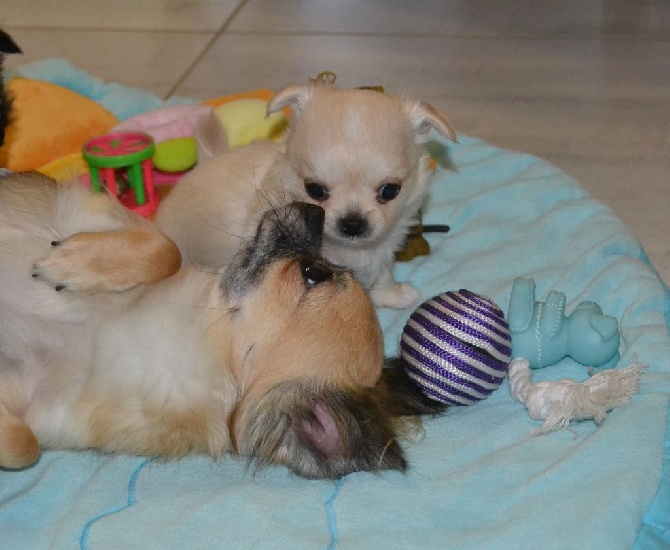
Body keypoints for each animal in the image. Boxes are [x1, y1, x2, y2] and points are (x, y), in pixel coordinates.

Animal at [156, 81, 456, 310]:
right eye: (315, 190)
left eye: (390, 191)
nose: (352, 223)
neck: (350, 250)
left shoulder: (381, 251)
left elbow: (382, 274)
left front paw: (393, 295)